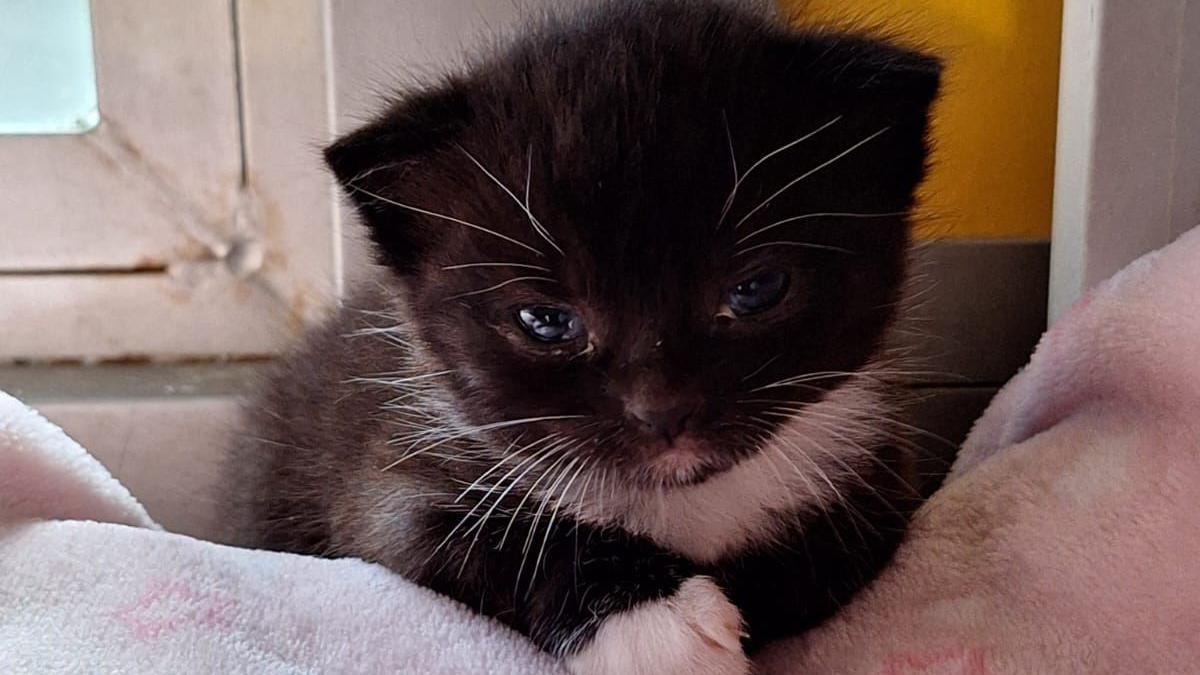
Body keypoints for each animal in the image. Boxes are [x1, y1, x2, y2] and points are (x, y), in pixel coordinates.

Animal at [223, 2, 936, 667]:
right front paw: (657, 625)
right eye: (547, 322)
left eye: (757, 288)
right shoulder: (390, 477)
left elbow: (818, 569)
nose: (663, 411)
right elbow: (461, 536)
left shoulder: (878, 479)